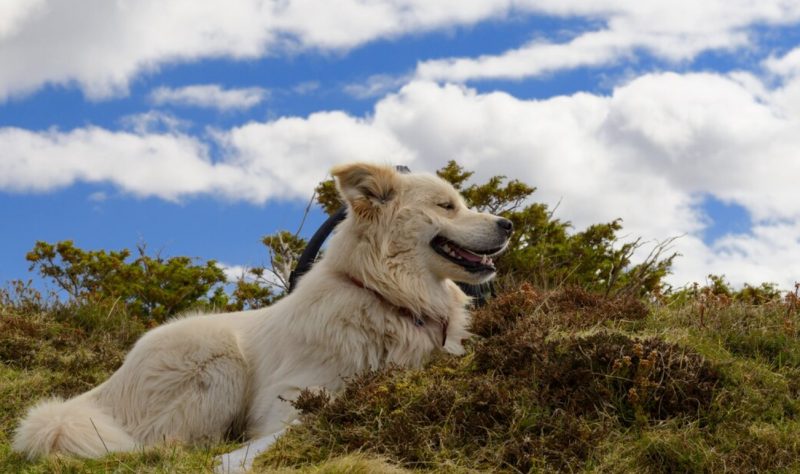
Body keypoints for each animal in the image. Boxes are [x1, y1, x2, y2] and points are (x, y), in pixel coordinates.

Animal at [14, 163, 512, 470]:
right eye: (446, 206)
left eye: (459, 202)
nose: (508, 225)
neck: (389, 298)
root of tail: (99, 394)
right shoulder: (292, 396)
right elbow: (302, 422)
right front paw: (233, 460)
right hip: (220, 363)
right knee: (168, 440)